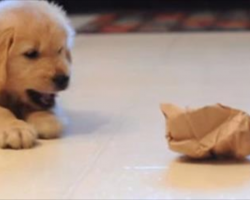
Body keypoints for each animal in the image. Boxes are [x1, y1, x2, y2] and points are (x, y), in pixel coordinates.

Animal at [0, 0, 74, 148]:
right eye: (31, 53)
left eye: (59, 50)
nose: (63, 79)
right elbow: (2, 111)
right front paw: (15, 128)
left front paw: (45, 118)